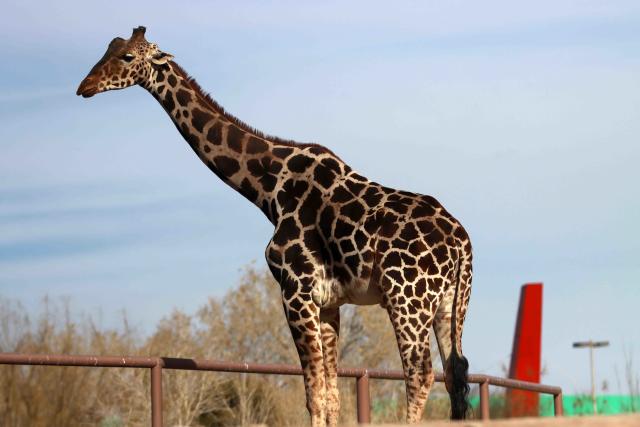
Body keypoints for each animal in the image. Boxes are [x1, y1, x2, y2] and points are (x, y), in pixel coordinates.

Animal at [77, 27, 472, 427]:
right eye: (108, 48)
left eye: (127, 57)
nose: (84, 86)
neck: (267, 189)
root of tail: (462, 244)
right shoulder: (327, 303)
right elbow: (331, 395)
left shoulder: (295, 290)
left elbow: (313, 394)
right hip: (448, 304)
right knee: (455, 374)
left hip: (406, 299)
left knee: (421, 374)